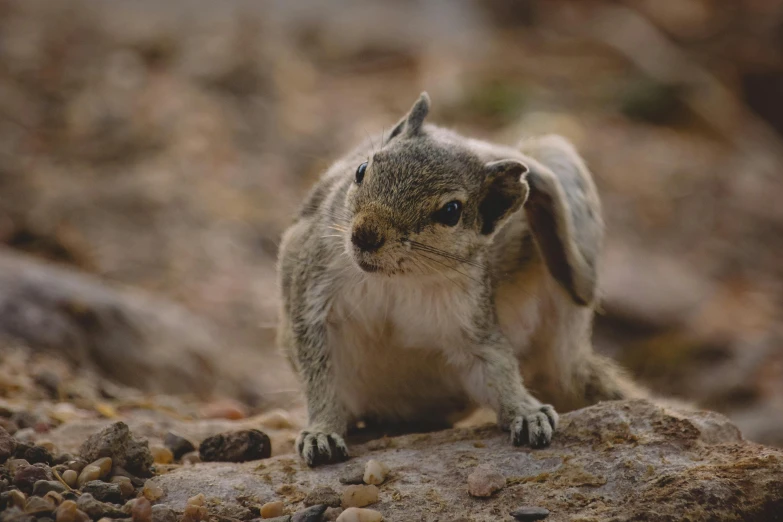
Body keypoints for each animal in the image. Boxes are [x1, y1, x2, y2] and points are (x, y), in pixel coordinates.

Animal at [278, 91, 648, 466]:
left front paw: (525, 411)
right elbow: (320, 375)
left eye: (451, 211)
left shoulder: (469, 321)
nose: (365, 234)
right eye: (362, 169)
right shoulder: (314, 295)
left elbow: (495, 365)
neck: (397, 279)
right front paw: (322, 431)